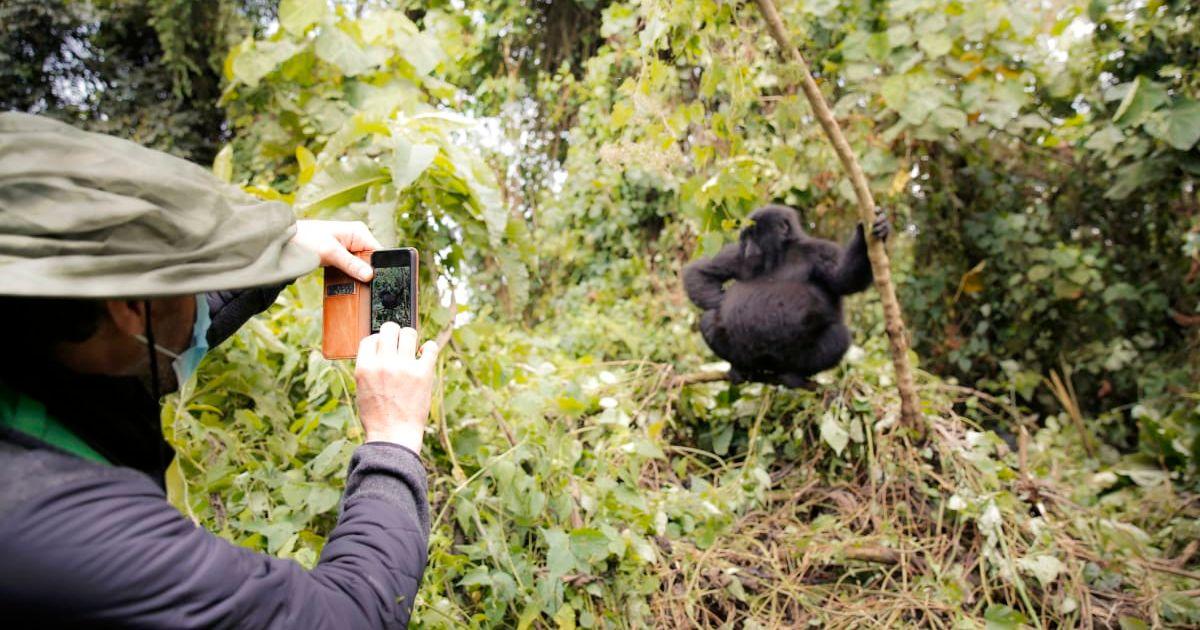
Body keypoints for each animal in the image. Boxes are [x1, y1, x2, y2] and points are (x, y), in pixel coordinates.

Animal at [683, 205, 889, 387]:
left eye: (756, 236)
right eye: (745, 238)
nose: (748, 250)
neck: (780, 255)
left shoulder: (820, 251)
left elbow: (845, 278)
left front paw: (868, 234)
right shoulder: (735, 254)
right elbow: (700, 273)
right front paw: (722, 302)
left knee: (838, 336)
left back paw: (795, 374)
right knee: (709, 318)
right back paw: (741, 367)